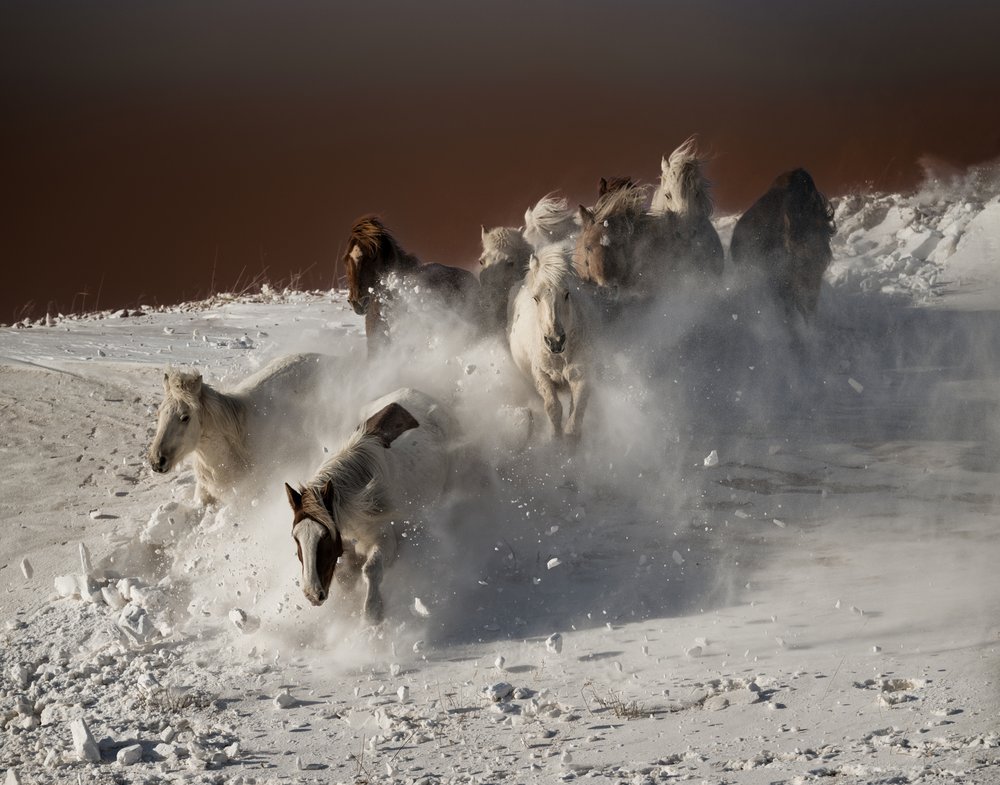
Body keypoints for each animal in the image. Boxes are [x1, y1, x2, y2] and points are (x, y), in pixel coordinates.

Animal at [284, 388, 453, 623]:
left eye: (325, 536)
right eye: (296, 537)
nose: (311, 594)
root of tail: (414, 392)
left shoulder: (385, 540)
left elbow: (371, 569)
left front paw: (372, 612)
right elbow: (344, 574)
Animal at [508, 247, 590, 440]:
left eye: (567, 293)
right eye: (536, 298)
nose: (555, 341)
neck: (560, 356)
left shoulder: (580, 374)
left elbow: (577, 411)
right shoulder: (541, 375)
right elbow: (553, 408)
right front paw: (555, 438)